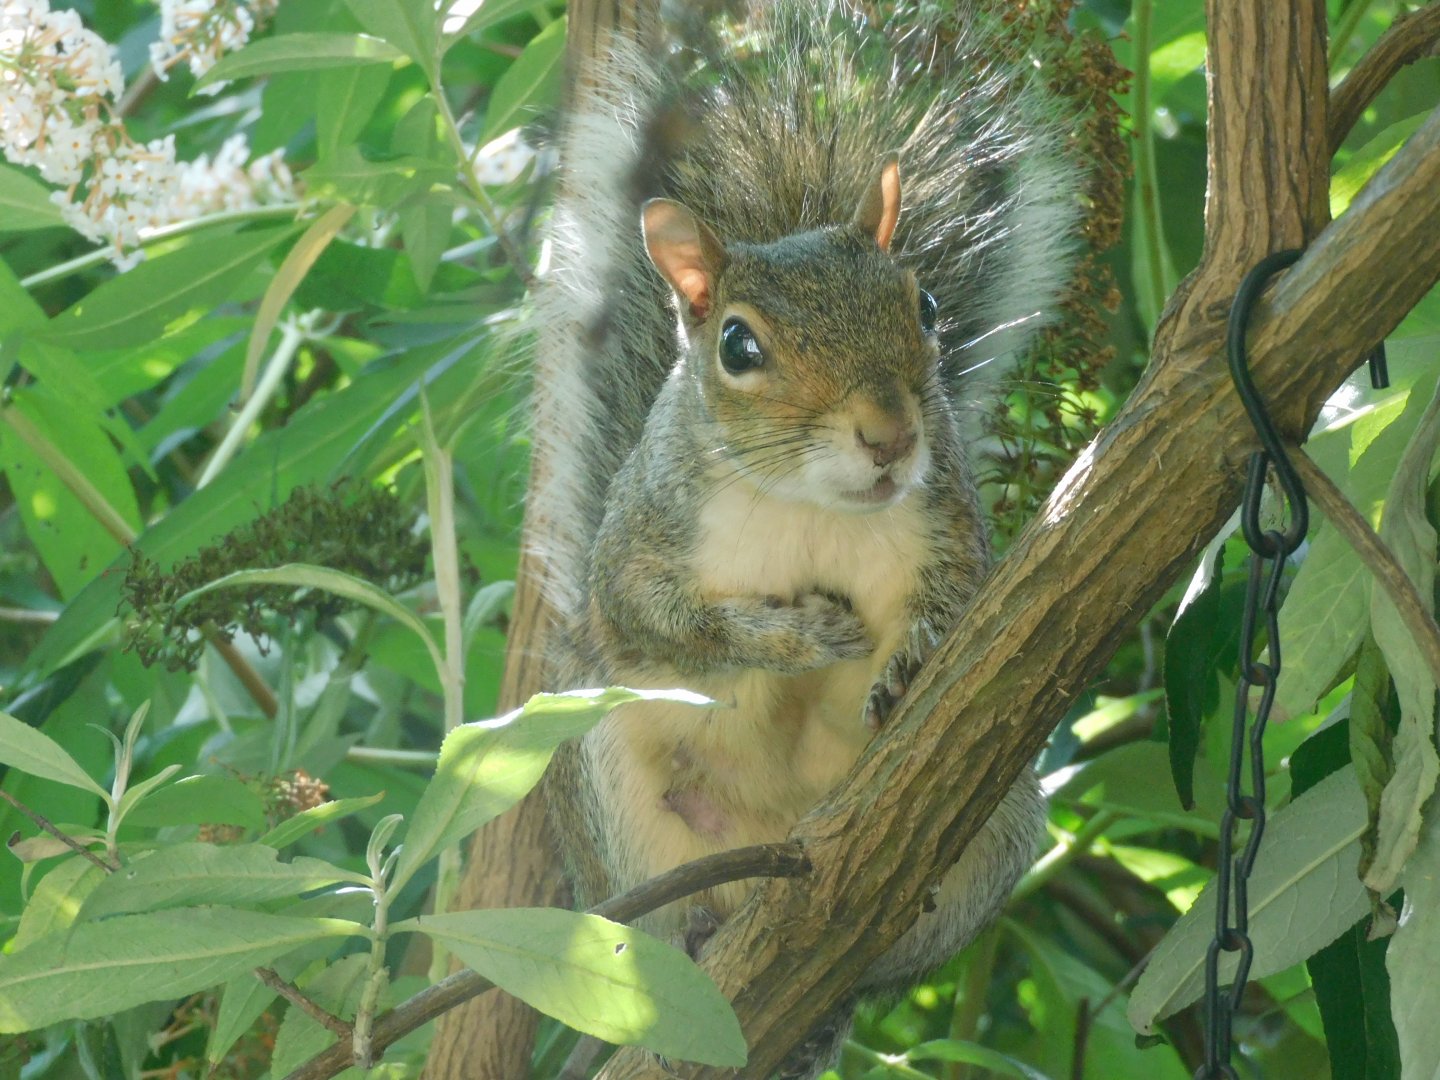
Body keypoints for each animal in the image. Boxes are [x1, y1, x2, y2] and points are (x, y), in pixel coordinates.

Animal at [535, 1, 1080, 1071]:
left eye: (925, 305)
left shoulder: (947, 523)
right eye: (738, 345)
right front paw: (791, 637)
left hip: (996, 825)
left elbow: (962, 602)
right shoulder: (642, 542)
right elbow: (663, 619)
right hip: (608, 784)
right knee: (664, 919)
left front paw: (907, 659)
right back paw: (693, 941)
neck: (808, 500)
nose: (890, 436)